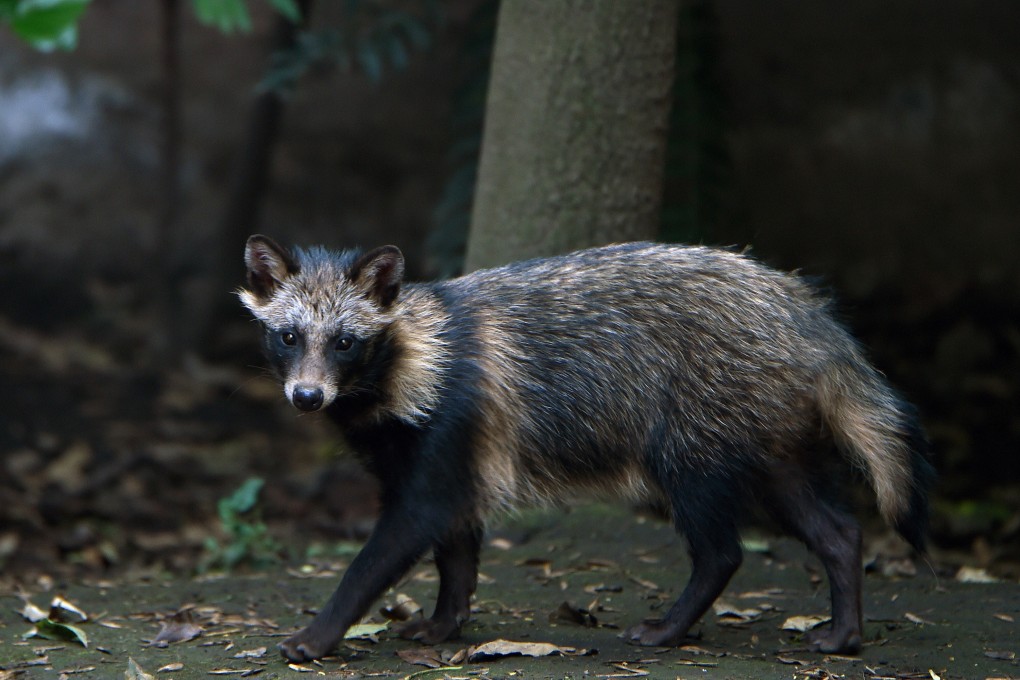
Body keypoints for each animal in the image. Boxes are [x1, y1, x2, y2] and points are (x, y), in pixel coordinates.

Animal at [239, 235, 933, 663]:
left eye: (345, 342)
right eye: (289, 336)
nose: (307, 396)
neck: (412, 357)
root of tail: (798, 306)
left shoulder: (446, 438)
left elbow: (381, 554)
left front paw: (320, 632)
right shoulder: (443, 459)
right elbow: (456, 552)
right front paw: (445, 620)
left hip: (693, 438)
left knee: (722, 550)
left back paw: (673, 625)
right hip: (766, 443)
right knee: (837, 530)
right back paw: (845, 628)